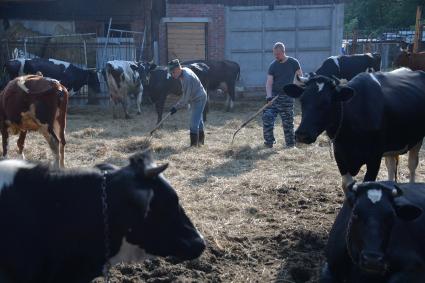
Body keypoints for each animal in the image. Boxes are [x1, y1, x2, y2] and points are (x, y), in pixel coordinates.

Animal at [282, 67, 424, 191]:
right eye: (302, 100)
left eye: (327, 102)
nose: (302, 134)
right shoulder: (340, 155)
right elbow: (346, 184)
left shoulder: (374, 157)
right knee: (391, 165)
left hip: (417, 139)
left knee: (412, 165)